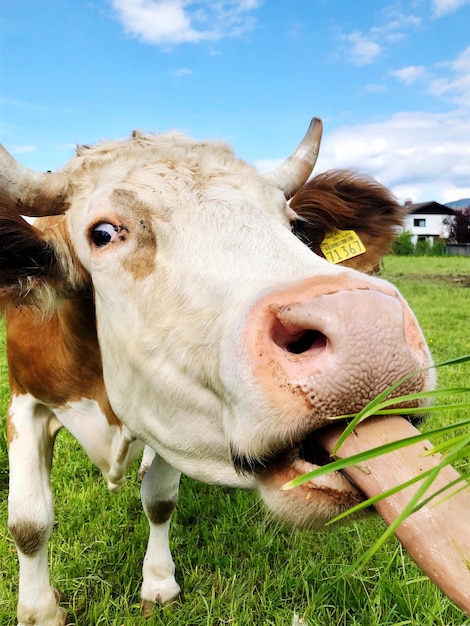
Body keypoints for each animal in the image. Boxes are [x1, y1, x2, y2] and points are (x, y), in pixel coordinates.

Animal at [0, 118, 462, 624]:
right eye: (102, 233)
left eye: (295, 227)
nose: (367, 325)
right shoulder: (25, 400)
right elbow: (28, 523)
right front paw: (40, 611)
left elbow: (160, 501)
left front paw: (158, 582)